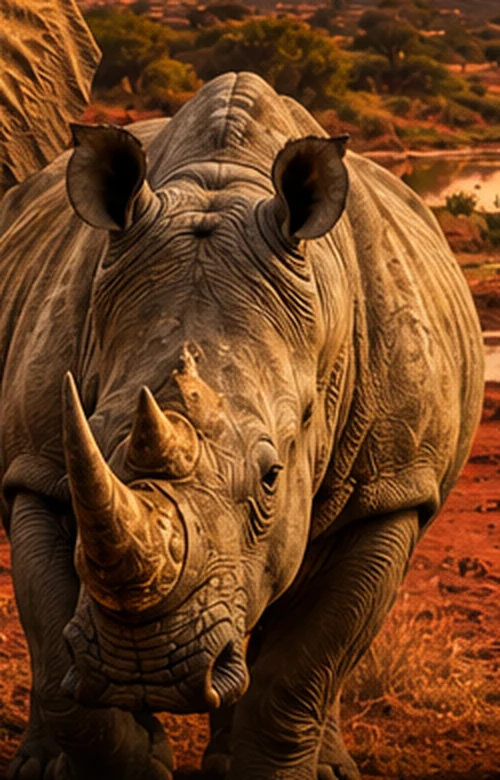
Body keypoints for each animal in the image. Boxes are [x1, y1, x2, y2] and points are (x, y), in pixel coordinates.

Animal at [1, 3, 484, 779]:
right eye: (89, 446)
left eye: (271, 476)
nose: (148, 668)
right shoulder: (39, 468)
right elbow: (65, 671)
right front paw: (133, 751)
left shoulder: (393, 489)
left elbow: (300, 673)